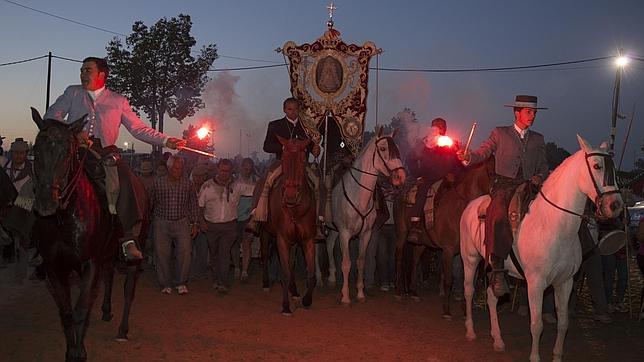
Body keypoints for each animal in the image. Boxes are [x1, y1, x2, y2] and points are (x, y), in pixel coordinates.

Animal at [30, 109, 146, 360]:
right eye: (36, 150)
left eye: (67, 152)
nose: (46, 204)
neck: (66, 219)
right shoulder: (55, 268)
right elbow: (66, 312)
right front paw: (70, 350)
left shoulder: (89, 264)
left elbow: (81, 309)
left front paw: (79, 352)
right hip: (108, 252)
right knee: (110, 275)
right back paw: (106, 310)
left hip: (132, 255)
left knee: (129, 290)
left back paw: (122, 330)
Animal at [260, 136, 318, 316]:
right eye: (284, 160)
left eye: (302, 160)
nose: (291, 196)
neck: (295, 210)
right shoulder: (282, 239)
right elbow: (284, 273)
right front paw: (285, 306)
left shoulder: (307, 240)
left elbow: (311, 274)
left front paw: (307, 300)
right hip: (265, 233)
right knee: (265, 255)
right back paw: (266, 283)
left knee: (291, 263)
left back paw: (295, 291)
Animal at [316, 126, 406, 304]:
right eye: (383, 149)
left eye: (398, 149)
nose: (401, 178)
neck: (359, 195)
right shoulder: (345, 234)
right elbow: (346, 263)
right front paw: (345, 296)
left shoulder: (366, 234)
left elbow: (361, 262)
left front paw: (360, 293)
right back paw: (318, 279)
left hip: (334, 230)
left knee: (328, 245)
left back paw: (331, 279)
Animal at [392, 157, 494, 318]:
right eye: (490, 173)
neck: (460, 210)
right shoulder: (448, 250)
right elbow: (448, 279)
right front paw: (446, 310)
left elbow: (467, 280)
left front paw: (465, 309)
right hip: (401, 234)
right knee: (399, 258)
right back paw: (398, 291)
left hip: (422, 243)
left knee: (415, 261)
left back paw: (414, 292)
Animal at [460, 134, 620, 360]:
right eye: (597, 166)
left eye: (613, 168)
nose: (615, 205)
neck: (554, 224)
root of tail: (471, 205)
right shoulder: (535, 283)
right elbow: (536, 325)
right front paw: (535, 357)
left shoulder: (565, 282)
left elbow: (563, 323)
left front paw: (557, 356)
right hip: (470, 259)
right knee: (468, 290)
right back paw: (471, 331)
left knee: (492, 296)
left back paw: (498, 340)